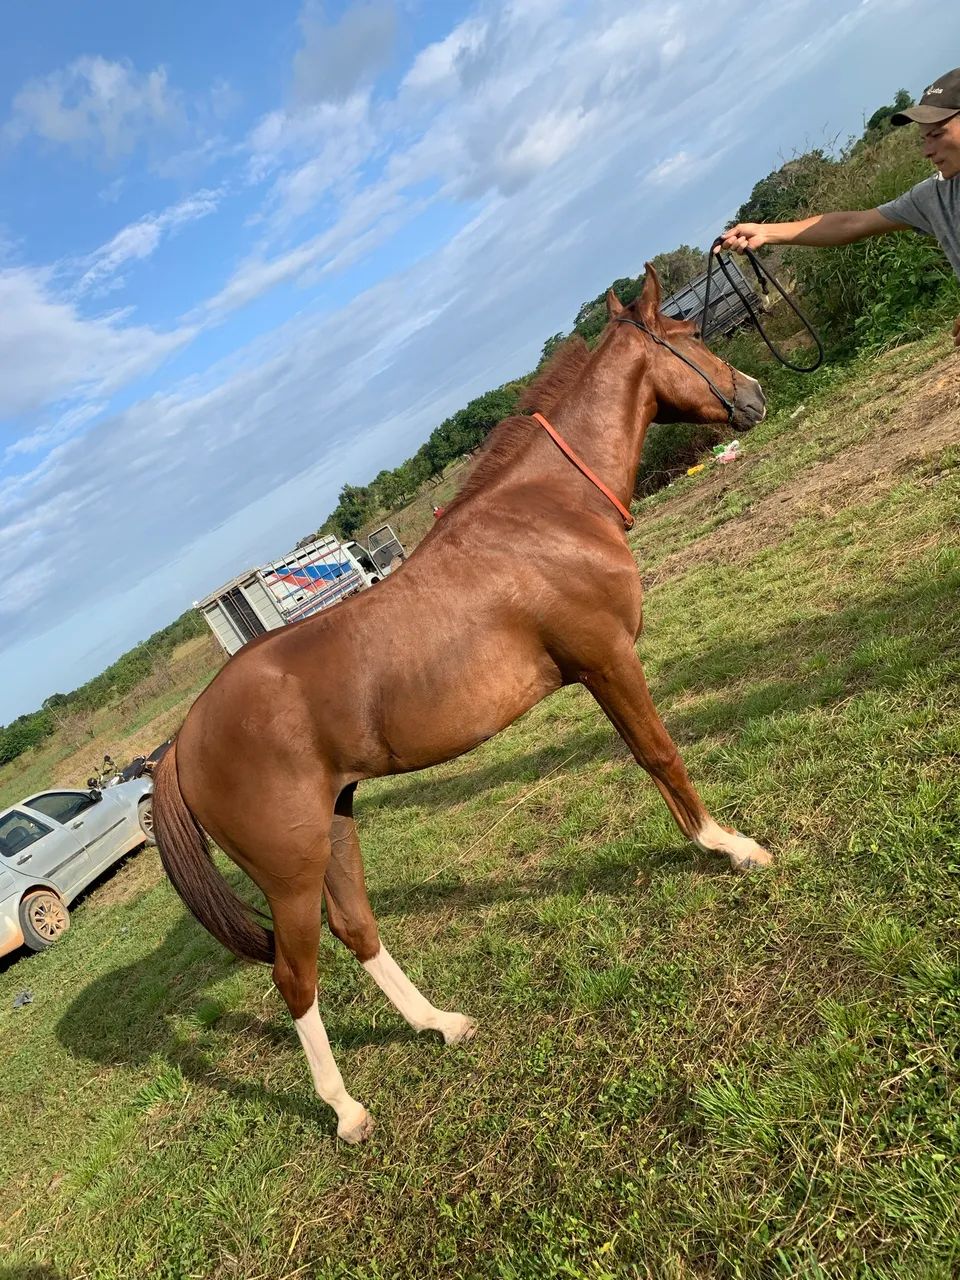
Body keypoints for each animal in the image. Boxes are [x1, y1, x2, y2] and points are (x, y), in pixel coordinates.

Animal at [153, 264, 771, 1143]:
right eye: (688, 335)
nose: (753, 394)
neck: (545, 513)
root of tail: (179, 745)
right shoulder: (607, 660)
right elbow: (660, 756)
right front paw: (731, 847)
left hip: (337, 823)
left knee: (357, 930)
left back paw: (441, 1024)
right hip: (290, 870)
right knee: (294, 976)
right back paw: (345, 1110)